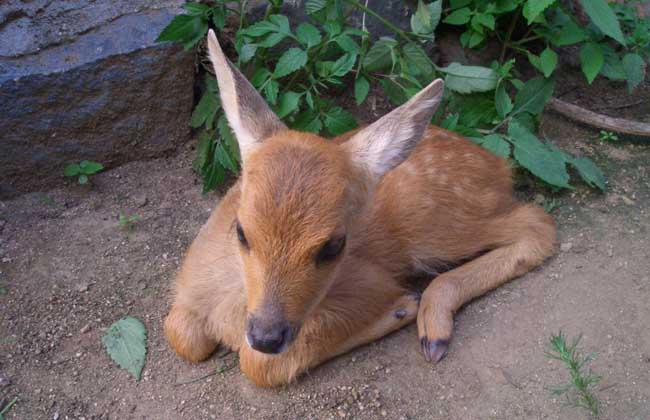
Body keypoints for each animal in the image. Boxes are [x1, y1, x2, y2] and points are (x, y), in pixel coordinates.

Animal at [165, 30, 556, 388]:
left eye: (333, 246)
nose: (266, 335)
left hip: (435, 224)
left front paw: (402, 308)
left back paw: (432, 326)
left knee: (538, 223)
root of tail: (499, 165)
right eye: (241, 231)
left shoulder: (369, 284)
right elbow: (179, 333)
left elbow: (256, 365)